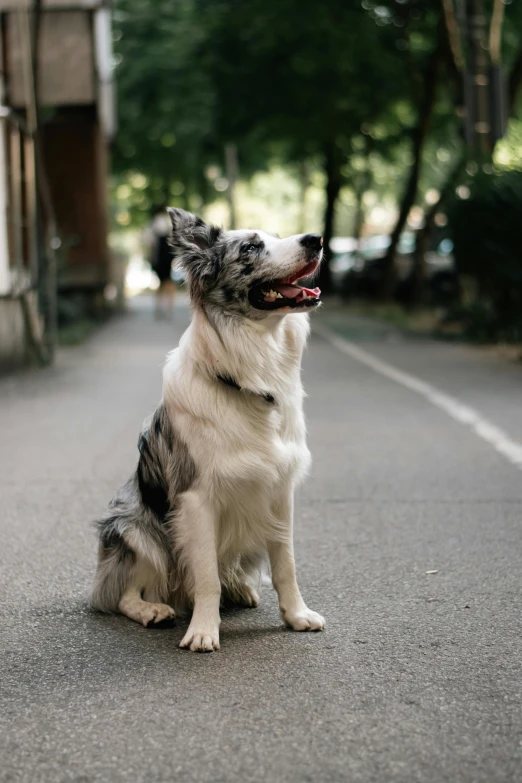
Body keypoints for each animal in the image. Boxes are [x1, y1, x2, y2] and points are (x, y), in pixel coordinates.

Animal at [91, 207, 322, 648]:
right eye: (250, 247)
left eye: (278, 236)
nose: (316, 239)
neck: (250, 375)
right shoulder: (196, 499)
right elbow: (205, 577)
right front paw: (202, 631)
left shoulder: (279, 491)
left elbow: (286, 565)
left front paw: (296, 615)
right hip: (132, 526)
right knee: (122, 594)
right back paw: (152, 610)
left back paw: (240, 588)